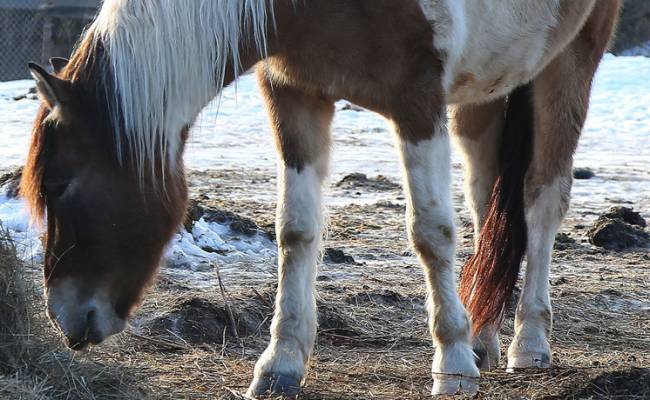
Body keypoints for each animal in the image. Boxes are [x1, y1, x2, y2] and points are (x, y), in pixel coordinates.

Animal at [21, 0, 616, 396]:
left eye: (57, 185)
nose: (66, 319)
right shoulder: (295, 94)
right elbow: (295, 229)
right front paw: (280, 364)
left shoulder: (417, 98)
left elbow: (430, 232)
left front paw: (451, 365)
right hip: (484, 93)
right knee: (486, 201)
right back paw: (484, 336)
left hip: (571, 60)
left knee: (542, 201)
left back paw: (528, 342)